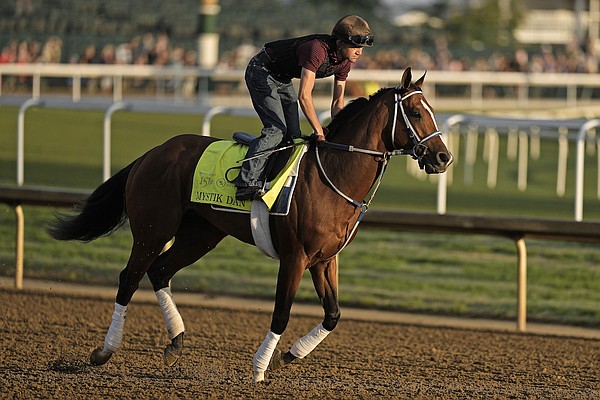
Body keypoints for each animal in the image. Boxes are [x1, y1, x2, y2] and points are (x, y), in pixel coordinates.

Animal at [49, 67, 452, 382]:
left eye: (433, 111)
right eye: (415, 112)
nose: (443, 157)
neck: (332, 175)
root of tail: (151, 153)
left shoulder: (325, 259)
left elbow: (334, 314)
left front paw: (292, 354)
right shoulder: (295, 257)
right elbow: (281, 312)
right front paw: (260, 367)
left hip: (201, 234)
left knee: (160, 272)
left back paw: (176, 342)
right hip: (153, 230)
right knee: (129, 279)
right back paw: (105, 350)